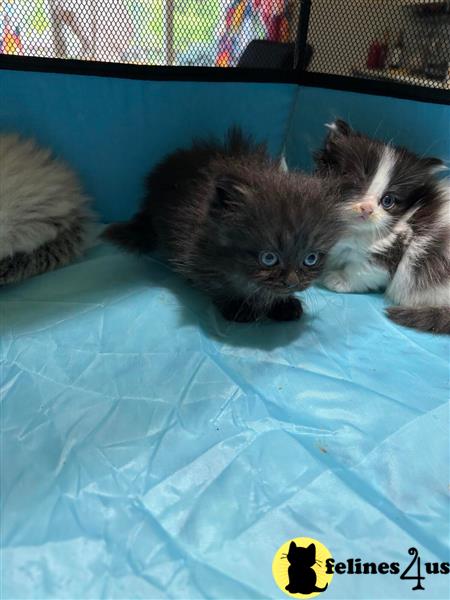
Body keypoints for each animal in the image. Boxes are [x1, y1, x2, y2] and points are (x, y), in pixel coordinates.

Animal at [103, 128, 342, 322]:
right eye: (268, 258)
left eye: (310, 259)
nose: (292, 283)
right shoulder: (192, 248)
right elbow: (212, 282)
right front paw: (237, 306)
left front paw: (282, 304)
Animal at [314, 119, 448, 336]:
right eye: (354, 184)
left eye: (388, 200)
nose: (366, 209)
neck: (352, 231)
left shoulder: (394, 248)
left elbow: (363, 270)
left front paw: (338, 279)